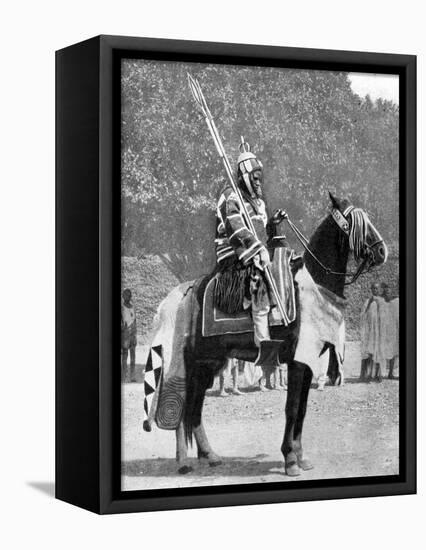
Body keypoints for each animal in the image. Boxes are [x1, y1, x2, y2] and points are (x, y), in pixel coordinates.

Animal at [148, 195, 388, 478]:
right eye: (355, 223)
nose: (382, 251)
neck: (313, 289)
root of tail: (185, 295)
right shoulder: (297, 363)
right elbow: (292, 408)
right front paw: (290, 459)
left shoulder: (307, 363)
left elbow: (302, 409)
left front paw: (301, 456)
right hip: (193, 362)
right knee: (185, 404)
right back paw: (184, 461)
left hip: (208, 364)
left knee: (195, 408)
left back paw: (210, 455)